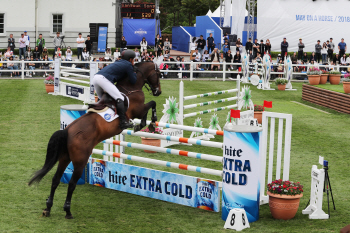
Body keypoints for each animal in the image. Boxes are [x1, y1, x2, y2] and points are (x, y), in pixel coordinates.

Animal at [28, 61, 161, 218]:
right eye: (158, 74)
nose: (158, 92)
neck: (131, 88)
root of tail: (67, 131)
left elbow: (150, 106)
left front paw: (144, 124)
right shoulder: (139, 109)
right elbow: (151, 104)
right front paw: (148, 123)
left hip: (64, 158)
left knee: (55, 179)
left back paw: (48, 208)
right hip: (80, 161)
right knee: (71, 183)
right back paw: (67, 210)